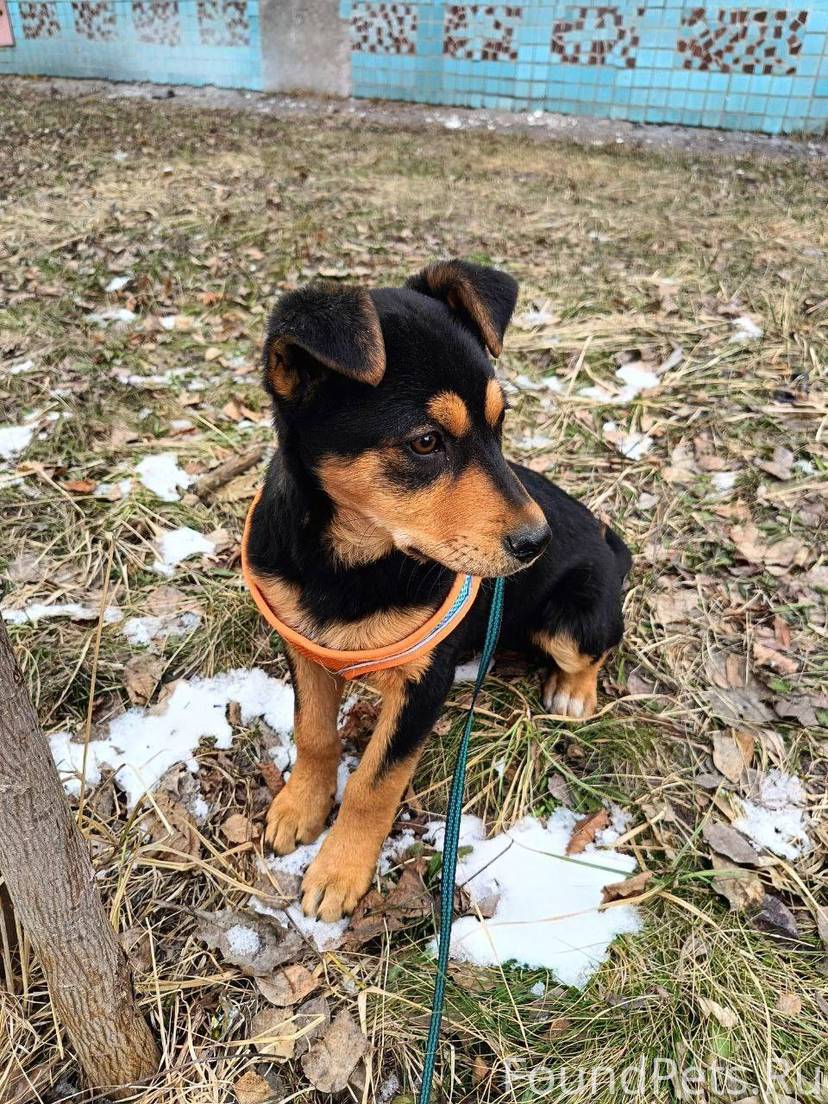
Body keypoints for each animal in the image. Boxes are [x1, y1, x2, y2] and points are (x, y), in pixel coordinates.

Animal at [244, 259, 632, 923]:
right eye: (425, 442)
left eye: (501, 424)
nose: (538, 542)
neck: (348, 562)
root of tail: (610, 545)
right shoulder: (302, 645)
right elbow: (314, 733)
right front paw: (300, 807)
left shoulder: (424, 680)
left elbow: (374, 783)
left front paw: (339, 871)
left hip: (574, 620)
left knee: (596, 646)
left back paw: (573, 692)